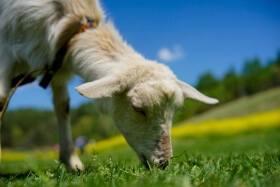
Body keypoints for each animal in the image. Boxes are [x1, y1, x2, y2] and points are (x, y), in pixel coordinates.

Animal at [0, 0, 219, 170]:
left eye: (175, 111)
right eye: (138, 109)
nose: (163, 164)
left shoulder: (56, 69)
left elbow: (63, 108)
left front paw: (72, 163)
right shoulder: (6, 51)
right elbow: (2, 98)